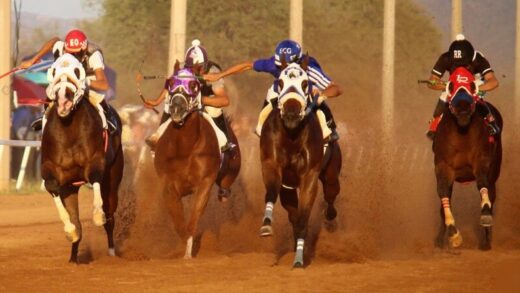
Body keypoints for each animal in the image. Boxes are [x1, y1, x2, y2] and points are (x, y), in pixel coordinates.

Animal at [41, 53, 124, 262]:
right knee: (77, 219)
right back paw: (73, 256)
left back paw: (111, 251)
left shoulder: (96, 160)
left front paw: (97, 214)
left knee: (110, 214)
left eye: (77, 71)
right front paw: (70, 231)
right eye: (54, 70)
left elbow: (94, 177)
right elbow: (52, 187)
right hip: (71, 187)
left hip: (114, 173)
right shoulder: (51, 169)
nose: (64, 96)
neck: (68, 129)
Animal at [153, 61, 241, 258]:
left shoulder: (204, 183)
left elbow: (193, 220)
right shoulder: (168, 185)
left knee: (225, 187)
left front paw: (188, 254)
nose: (177, 108)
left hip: (232, 170)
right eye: (171, 83)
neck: (185, 147)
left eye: (194, 85)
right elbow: (178, 221)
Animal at [258, 58, 342, 266]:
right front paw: (266, 225)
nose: (291, 112)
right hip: (289, 187)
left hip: (331, 173)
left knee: (330, 195)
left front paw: (298, 260)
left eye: (305, 83)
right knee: (292, 212)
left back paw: (330, 219)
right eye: (280, 82)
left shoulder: (309, 176)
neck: (292, 135)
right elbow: (272, 194)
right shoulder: (271, 165)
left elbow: (304, 217)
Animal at [432, 66, 502, 249]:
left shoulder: (481, 159)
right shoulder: (443, 165)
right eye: (451, 85)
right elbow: (443, 192)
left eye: (471, 85)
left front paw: (485, 215)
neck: (462, 130)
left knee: (491, 192)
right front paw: (452, 234)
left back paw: (486, 241)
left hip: (495, 171)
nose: (462, 107)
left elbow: (482, 184)